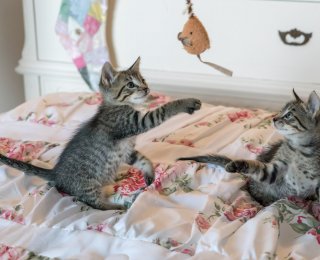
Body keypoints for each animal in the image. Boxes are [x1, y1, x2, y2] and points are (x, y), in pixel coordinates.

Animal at [0, 57, 200, 209]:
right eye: (130, 84)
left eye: (143, 80)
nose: (146, 89)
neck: (117, 105)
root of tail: (56, 173)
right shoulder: (134, 123)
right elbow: (164, 109)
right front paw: (188, 102)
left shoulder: (127, 151)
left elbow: (144, 160)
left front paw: (149, 174)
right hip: (88, 184)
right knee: (94, 204)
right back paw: (117, 207)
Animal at [179, 90, 320, 206]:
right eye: (281, 111)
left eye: (288, 115)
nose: (274, 118)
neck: (299, 149)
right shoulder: (275, 169)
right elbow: (257, 167)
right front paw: (236, 164)